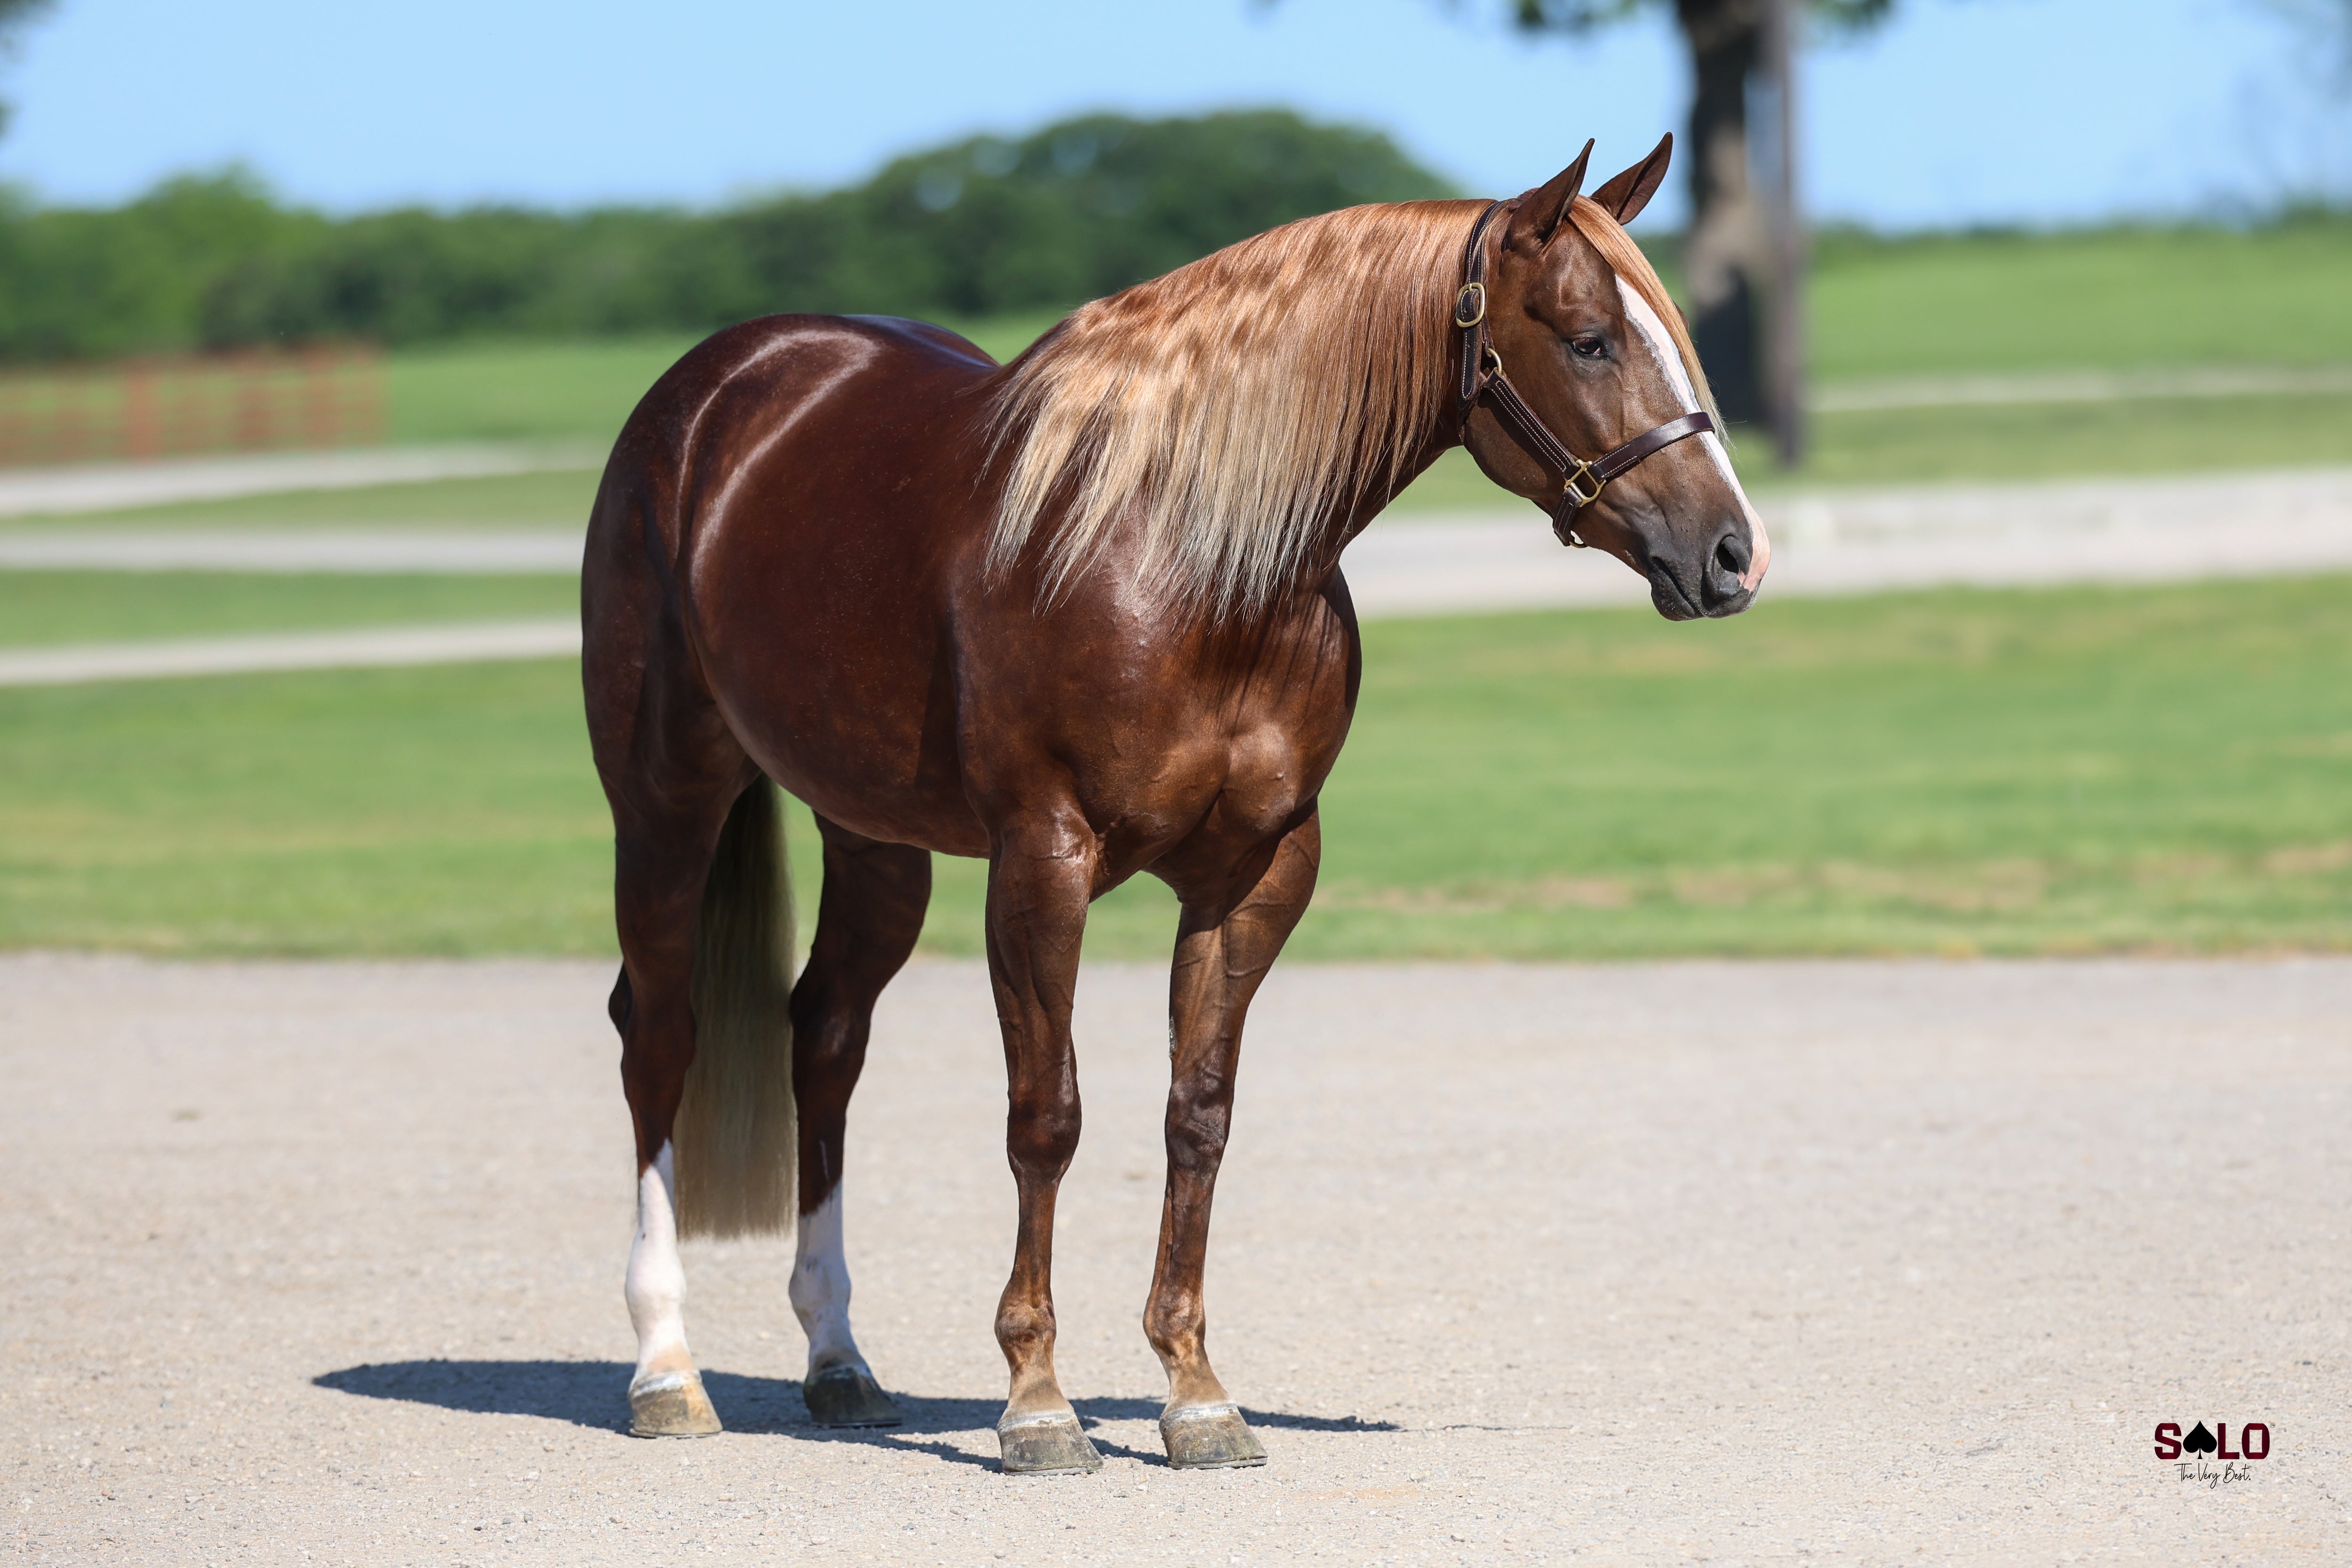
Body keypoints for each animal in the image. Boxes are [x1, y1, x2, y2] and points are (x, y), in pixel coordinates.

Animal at [581, 132, 1769, 1475]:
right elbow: (1046, 1116)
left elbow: (1197, 1116)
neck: (1183, 558)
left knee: (824, 1035)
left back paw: (838, 1360)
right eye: (1587, 339)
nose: (1734, 553)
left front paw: (1196, 1392)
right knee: (659, 1033)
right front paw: (1038, 1403)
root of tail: (718, 387)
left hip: (876, 841)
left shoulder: (1255, 872)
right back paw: (666, 1368)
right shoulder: (1040, 863)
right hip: (666, 801)